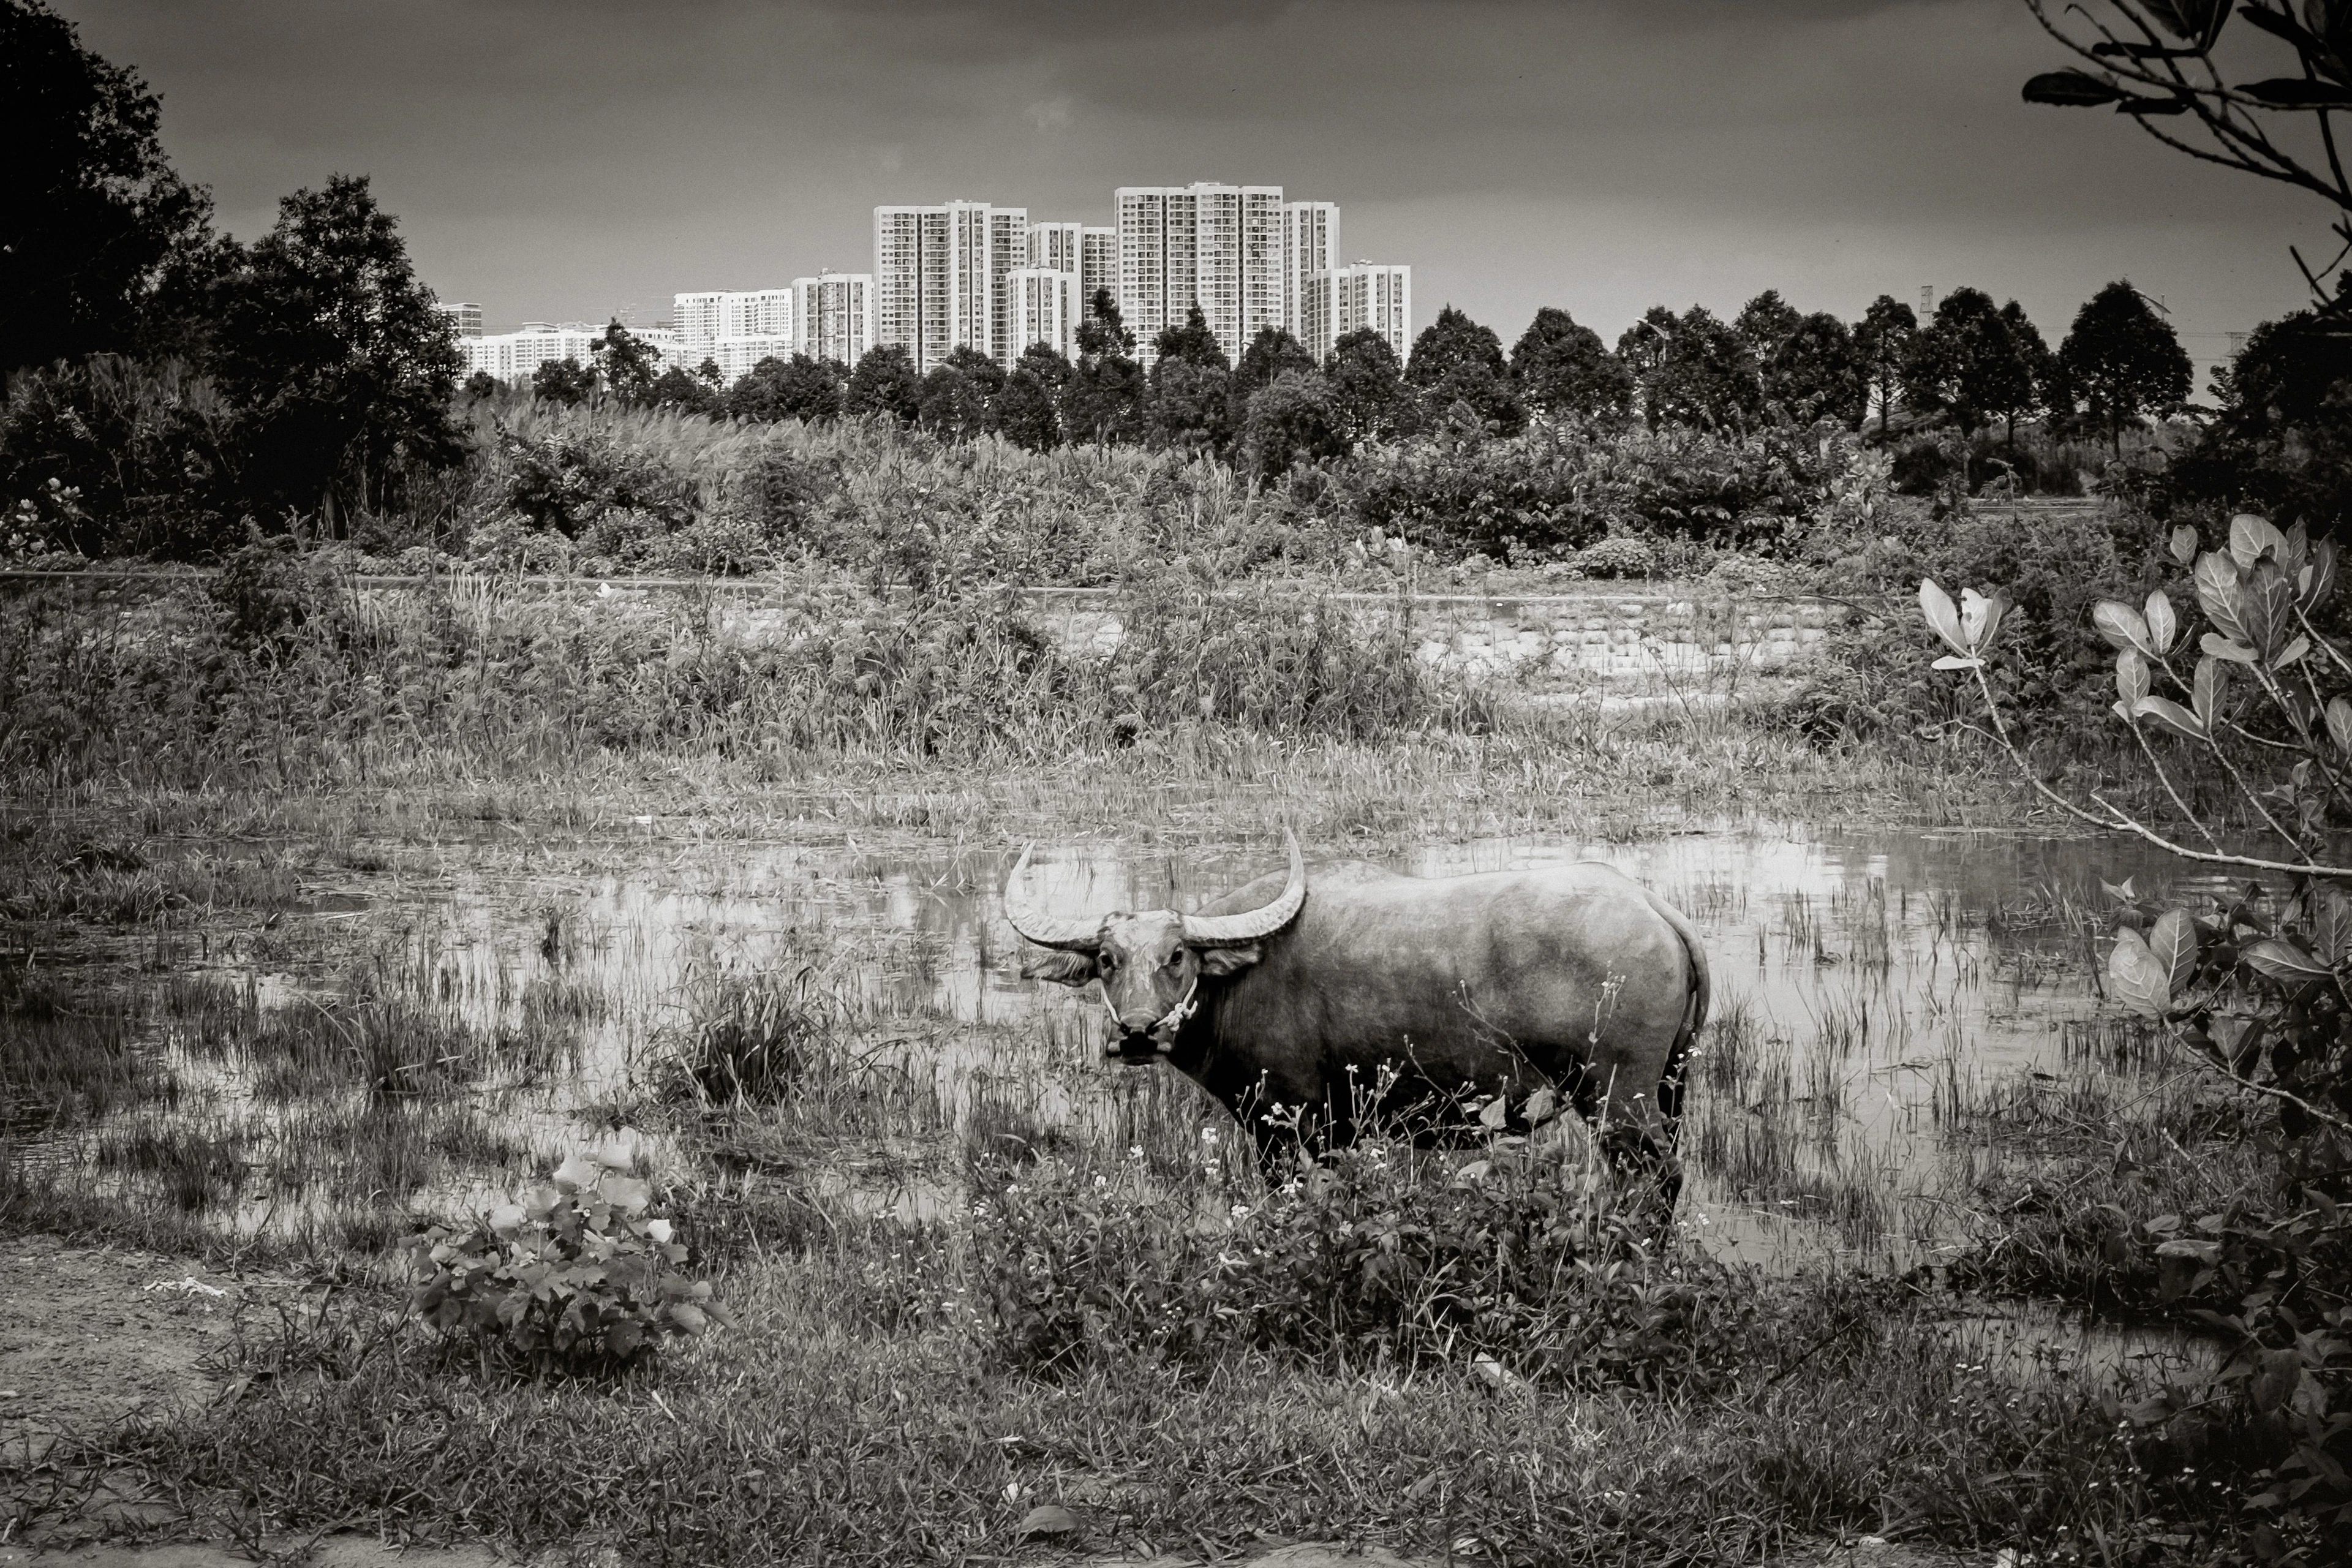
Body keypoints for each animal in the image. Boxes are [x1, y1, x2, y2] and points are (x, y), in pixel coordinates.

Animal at [1002, 829, 1709, 1196]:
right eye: (1107, 958)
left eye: (1177, 955)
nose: (1139, 1034)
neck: (1241, 980)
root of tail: (1653, 908)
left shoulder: (1291, 1126)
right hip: (1668, 1092)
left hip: (1617, 1099)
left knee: (1656, 1180)